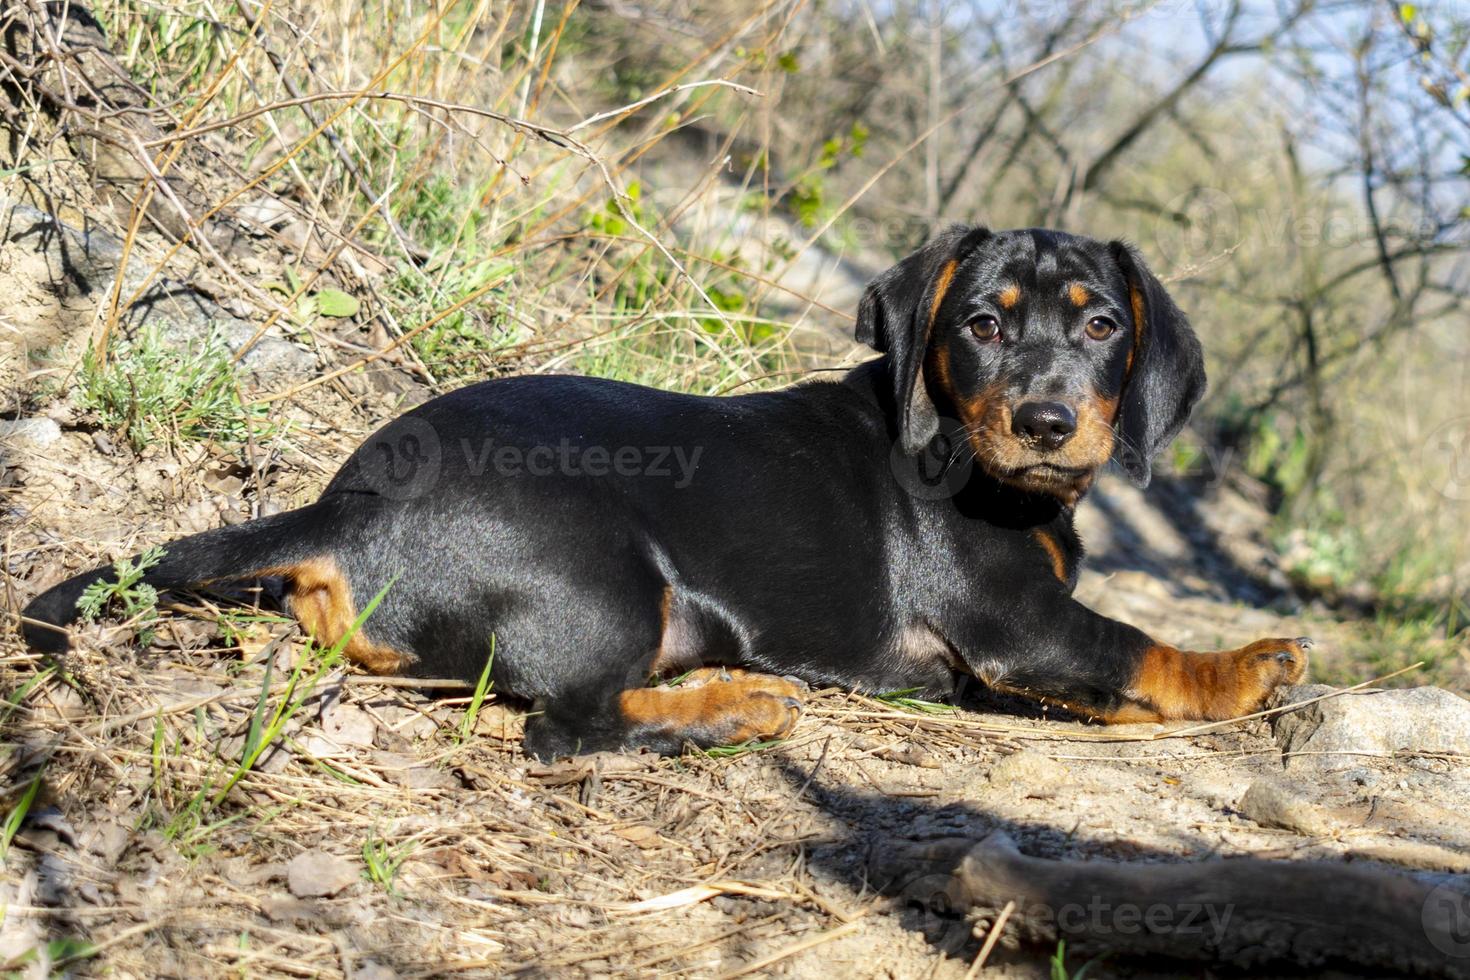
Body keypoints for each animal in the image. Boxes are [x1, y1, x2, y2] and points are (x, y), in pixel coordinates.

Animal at [22, 227, 1311, 758]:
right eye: (981, 326)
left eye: (1101, 326)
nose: (1045, 422)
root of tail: (345, 508)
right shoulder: (1019, 625)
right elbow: (1139, 645)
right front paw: (1250, 665)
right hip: (601, 577)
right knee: (564, 730)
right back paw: (734, 709)